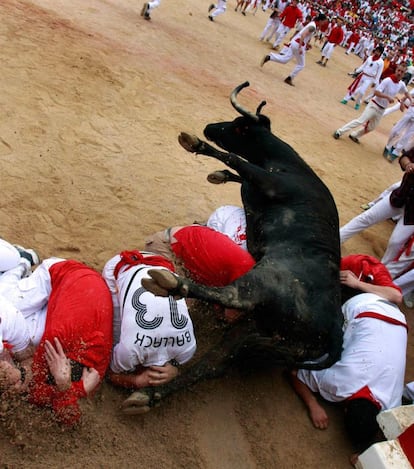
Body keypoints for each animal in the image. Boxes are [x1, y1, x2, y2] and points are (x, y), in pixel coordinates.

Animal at [139, 82, 342, 412]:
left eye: (236, 125)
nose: (210, 127)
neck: (288, 164)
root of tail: (336, 331)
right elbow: (238, 173)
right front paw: (217, 174)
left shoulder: (270, 183)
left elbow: (238, 161)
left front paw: (194, 143)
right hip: (253, 334)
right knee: (214, 364)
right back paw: (149, 395)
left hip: (263, 284)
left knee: (232, 296)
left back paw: (171, 283)